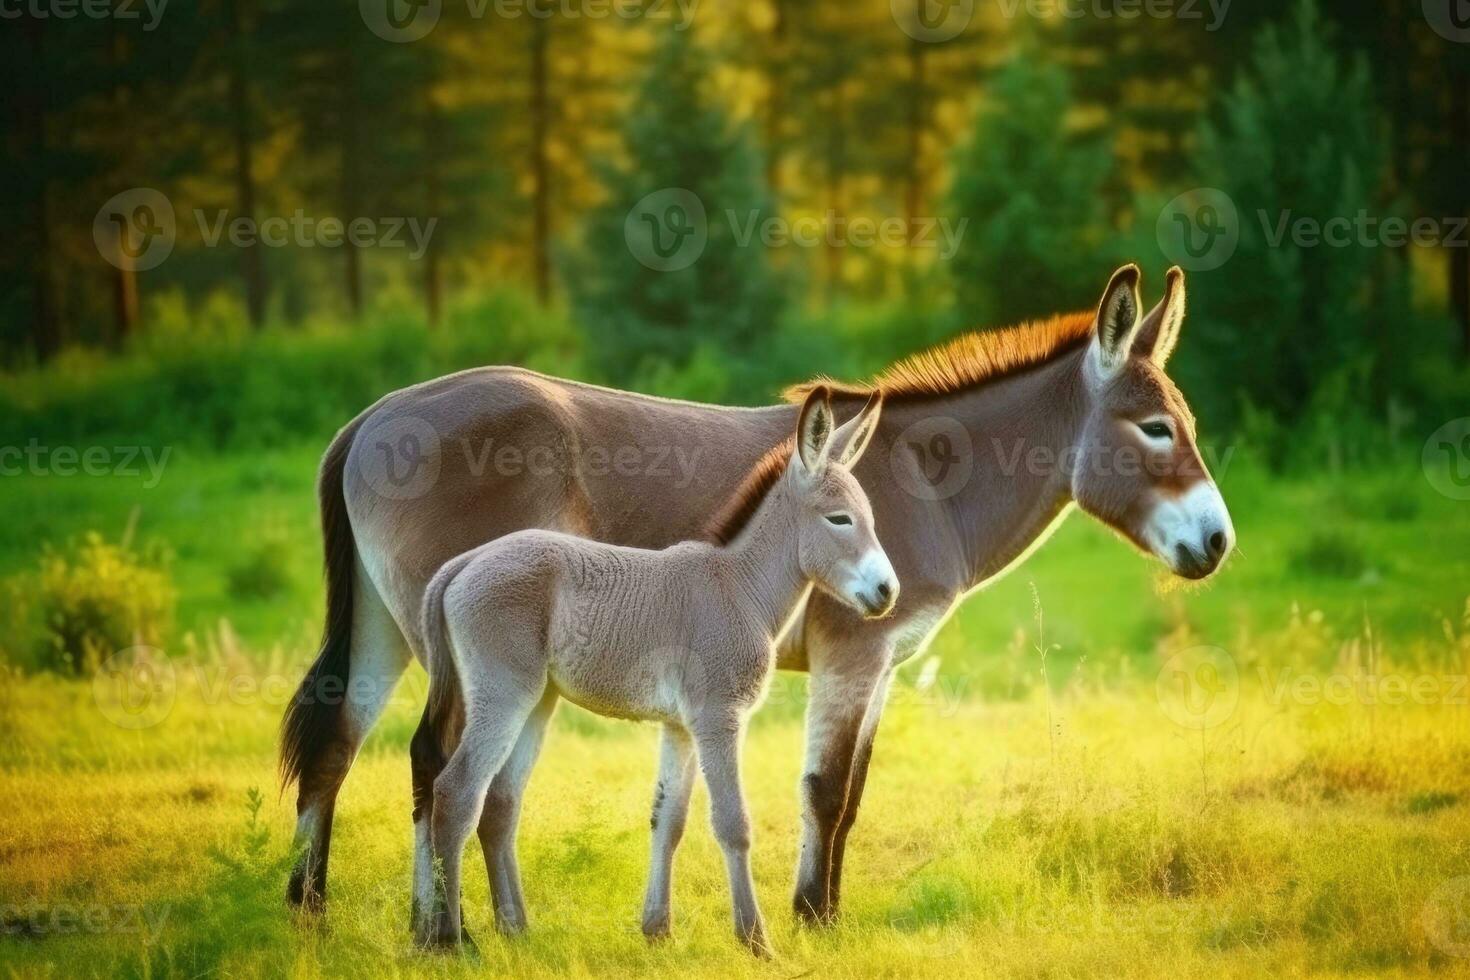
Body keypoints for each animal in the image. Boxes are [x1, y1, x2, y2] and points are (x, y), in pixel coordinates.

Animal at [414, 387, 893, 952]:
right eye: (839, 519)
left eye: (870, 518)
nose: (888, 592)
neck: (738, 588)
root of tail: (464, 563)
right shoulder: (718, 719)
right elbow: (732, 823)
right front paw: (755, 941)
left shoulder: (680, 726)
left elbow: (669, 821)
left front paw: (657, 931)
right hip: (504, 696)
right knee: (456, 793)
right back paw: (451, 939)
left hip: (537, 702)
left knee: (500, 804)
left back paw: (515, 929)